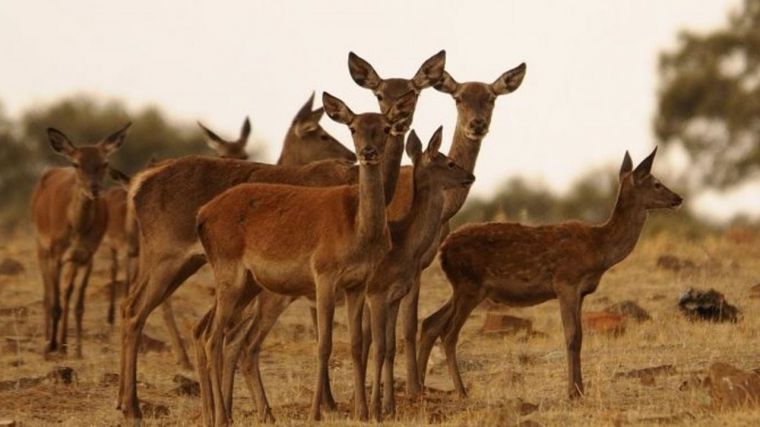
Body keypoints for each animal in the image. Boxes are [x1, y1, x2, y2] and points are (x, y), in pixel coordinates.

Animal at [31, 123, 131, 358]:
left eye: (105, 163)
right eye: (76, 164)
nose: (94, 189)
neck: (76, 228)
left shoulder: (87, 255)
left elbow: (78, 304)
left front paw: (76, 349)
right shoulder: (55, 252)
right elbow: (54, 302)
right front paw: (51, 346)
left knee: (66, 293)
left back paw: (64, 344)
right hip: (41, 246)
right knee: (47, 294)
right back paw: (49, 343)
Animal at [416, 149, 684, 400]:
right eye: (657, 182)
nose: (678, 198)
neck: (599, 250)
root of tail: (443, 251)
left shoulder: (581, 291)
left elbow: (580, 336)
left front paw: (580, 389)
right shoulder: (566, 282)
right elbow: (572, 337)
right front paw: (573, 392)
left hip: (464, 288)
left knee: (430, 323)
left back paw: (420, 388)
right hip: (470, 286)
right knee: (449, 334)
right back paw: (460, 391)